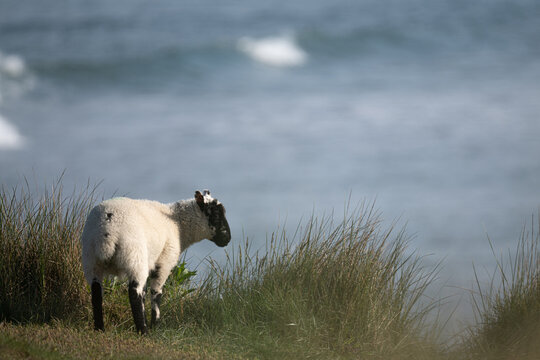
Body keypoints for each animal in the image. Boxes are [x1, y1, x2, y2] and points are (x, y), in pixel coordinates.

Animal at [81, 190, 230, 334]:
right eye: (216, 214)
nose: (227, 238)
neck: (178, 224)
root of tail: (107, 232)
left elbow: (145, 292)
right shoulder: (164, 262)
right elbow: (156, 292)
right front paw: (156, 325)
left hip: (91, 260)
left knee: (96, 293)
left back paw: (100, 329)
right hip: (135, 258)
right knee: (134, 293)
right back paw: (143, 331)